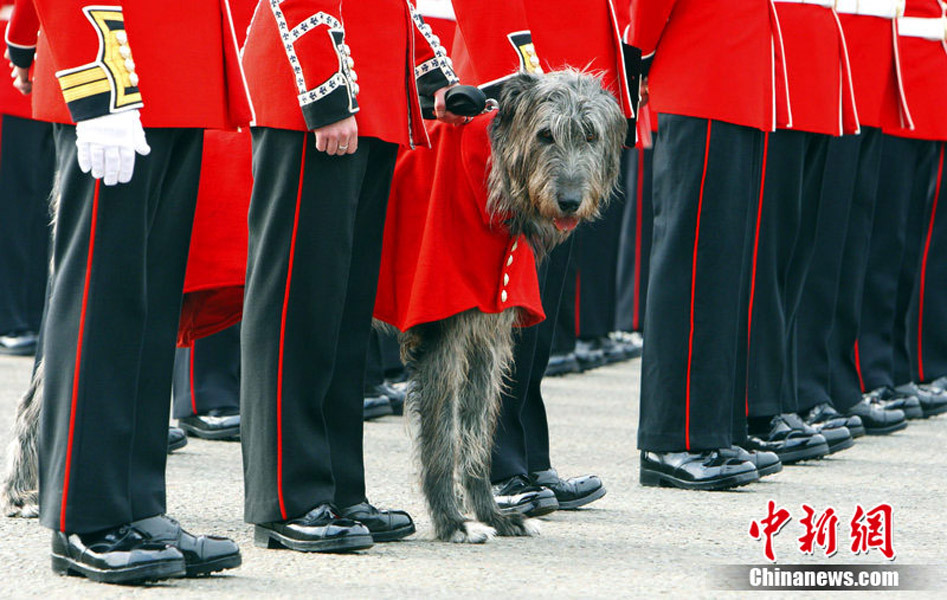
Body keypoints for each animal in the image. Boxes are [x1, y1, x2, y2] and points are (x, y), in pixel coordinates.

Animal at [398, 70, 624, 544]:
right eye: (545, 134)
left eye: (590, 134)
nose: (570, 201)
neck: (485, 184)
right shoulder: (443, 331)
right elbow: (443, 434)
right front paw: (453, 522)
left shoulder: (486, 337)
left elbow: (477, 430)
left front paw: (495, 515)